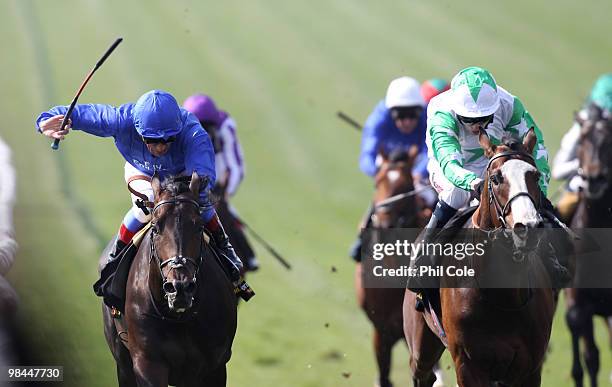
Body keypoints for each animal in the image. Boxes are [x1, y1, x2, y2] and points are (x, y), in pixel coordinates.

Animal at [100, 174, 237, 387]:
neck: (178, 317)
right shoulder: (147, 364)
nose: (179, 287)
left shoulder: (214, 366)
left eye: (199, 226)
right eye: (155, 227)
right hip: (122, 361)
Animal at [404, 130, 556, 384]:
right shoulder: (468, 365)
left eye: (535, 176)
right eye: (495, 178)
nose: (528, 227)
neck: (503, 298)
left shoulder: (528, 369)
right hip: (421, 346)